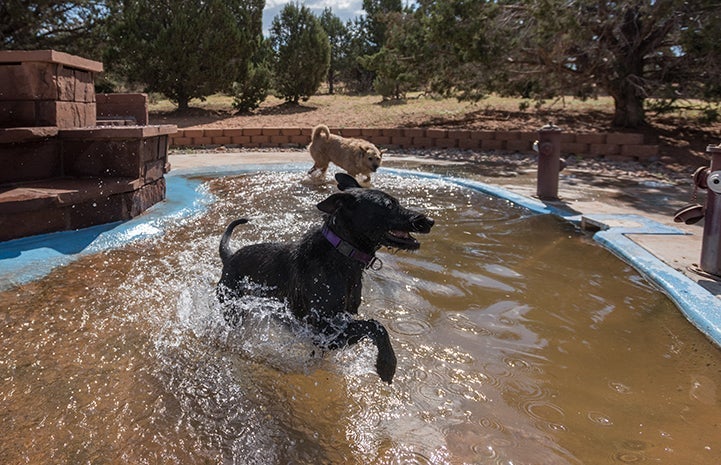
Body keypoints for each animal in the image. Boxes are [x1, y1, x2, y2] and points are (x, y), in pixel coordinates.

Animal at [217, 172, 434, 382]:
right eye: (389, 205)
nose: (430, 221)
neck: (341, 255)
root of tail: (230, 257)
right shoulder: (323, 331)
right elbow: (375, 325)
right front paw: (387, 364)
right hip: (232, 309)